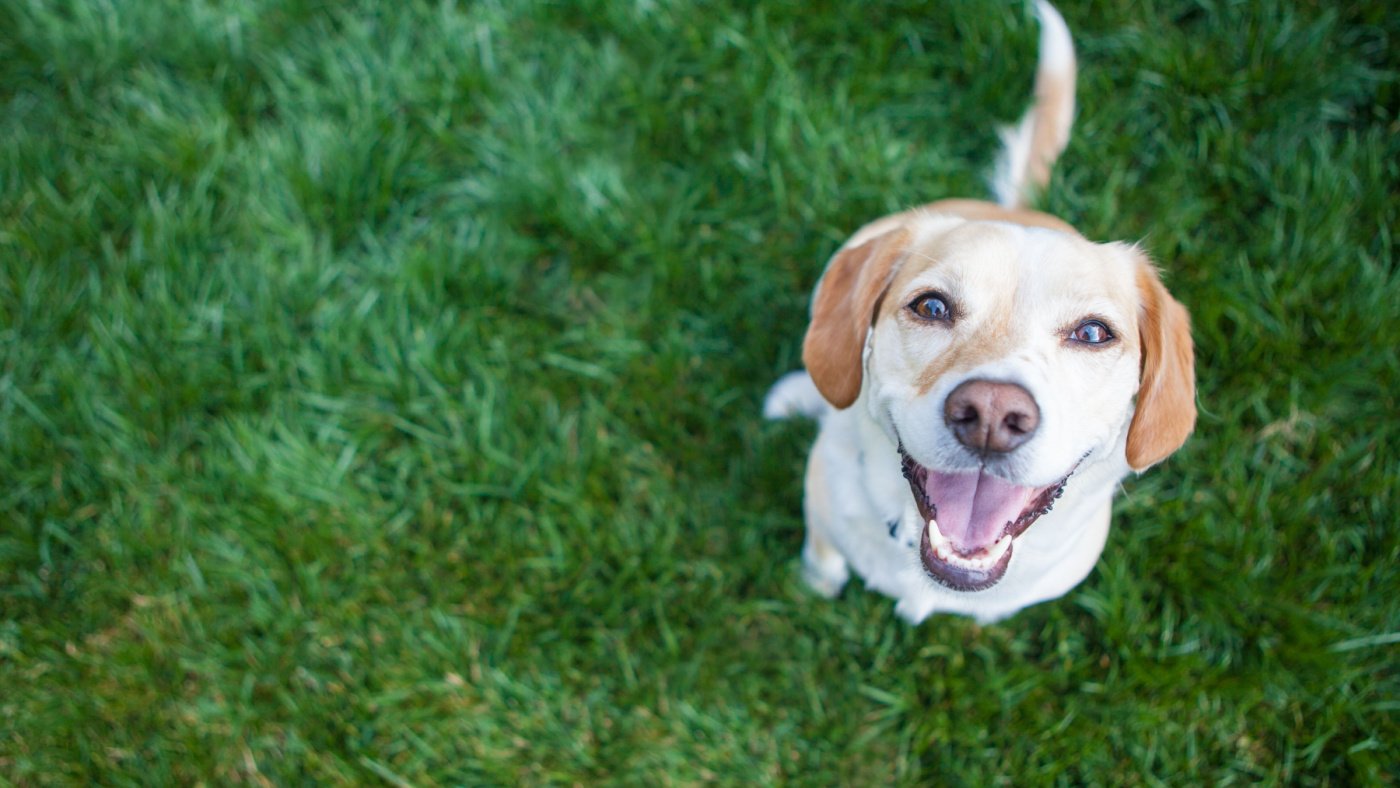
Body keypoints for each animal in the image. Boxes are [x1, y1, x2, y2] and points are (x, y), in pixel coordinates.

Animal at [767, 1, 1192, 629]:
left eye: (1093, 332)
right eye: (932, 306)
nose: (992, 414)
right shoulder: (822, 513)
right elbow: (822, 558)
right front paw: (815, 585)